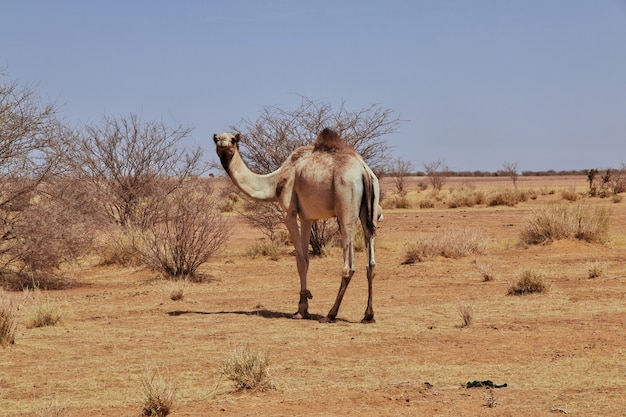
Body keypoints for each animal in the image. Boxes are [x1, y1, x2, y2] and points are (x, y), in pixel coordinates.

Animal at [213, 128, 380, 324]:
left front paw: (301, 310)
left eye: (233, 139)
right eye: (217, 139)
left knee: (349, 265)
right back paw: (368, 315)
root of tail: (364, 171)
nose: (223, 143)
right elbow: (306, 260)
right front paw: (304, 306)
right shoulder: (307, 217)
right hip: (370, 210)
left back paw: (330, 314)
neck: (274, 182)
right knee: (371, 261)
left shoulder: (289, 212)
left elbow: (300, 260)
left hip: (346, 205)